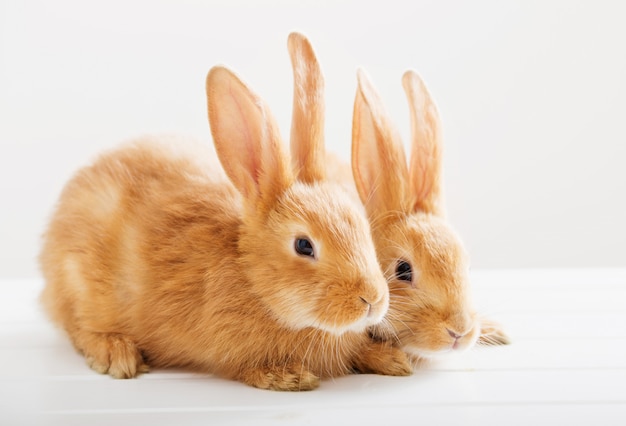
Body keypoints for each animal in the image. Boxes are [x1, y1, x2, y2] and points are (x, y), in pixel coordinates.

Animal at [39, 45, 412, 390]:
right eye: (304, 246)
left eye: (364, 229)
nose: (372, 300)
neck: (251, 278)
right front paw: (287, 376)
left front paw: (393, 360)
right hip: (81, 283)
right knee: (79, 326)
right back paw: (116, 353)